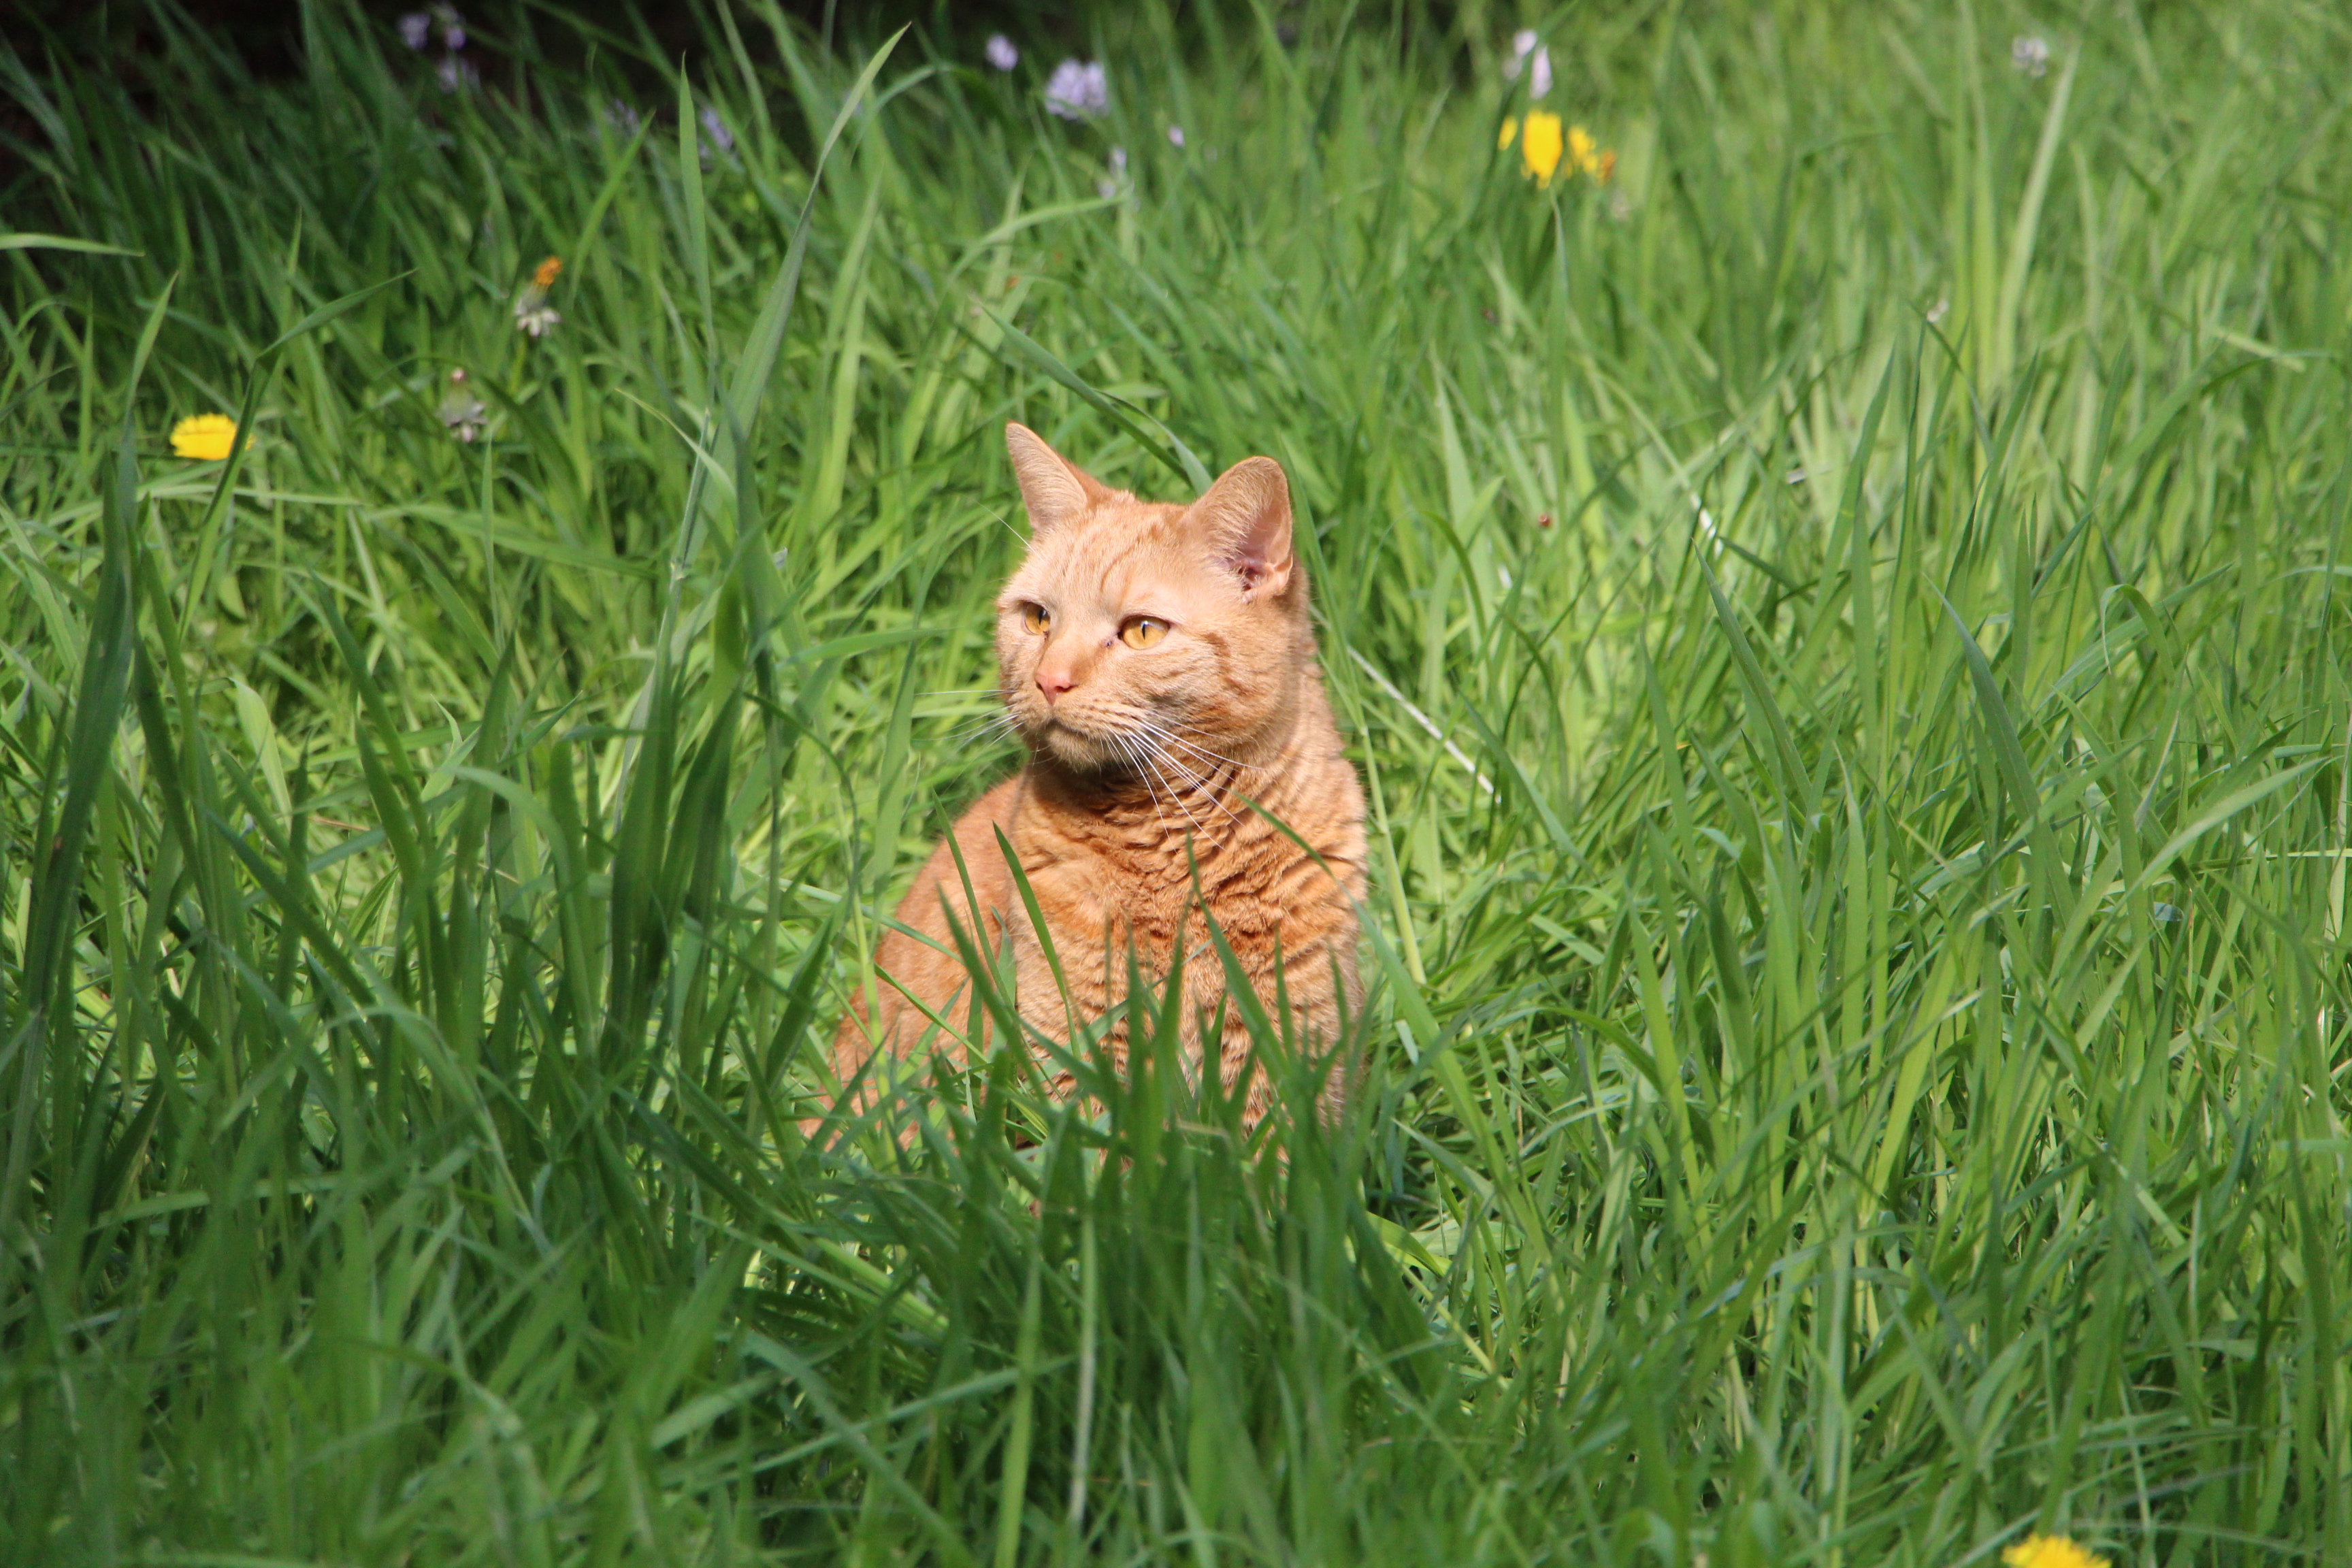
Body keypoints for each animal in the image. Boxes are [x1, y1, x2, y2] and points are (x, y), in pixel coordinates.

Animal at [824, 423, 1367, 1134]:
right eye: (1037, 618)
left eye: (1142, 631)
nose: (1049, 680)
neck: (1171, 846)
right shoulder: (1073, 1052)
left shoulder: (1290, 1061)